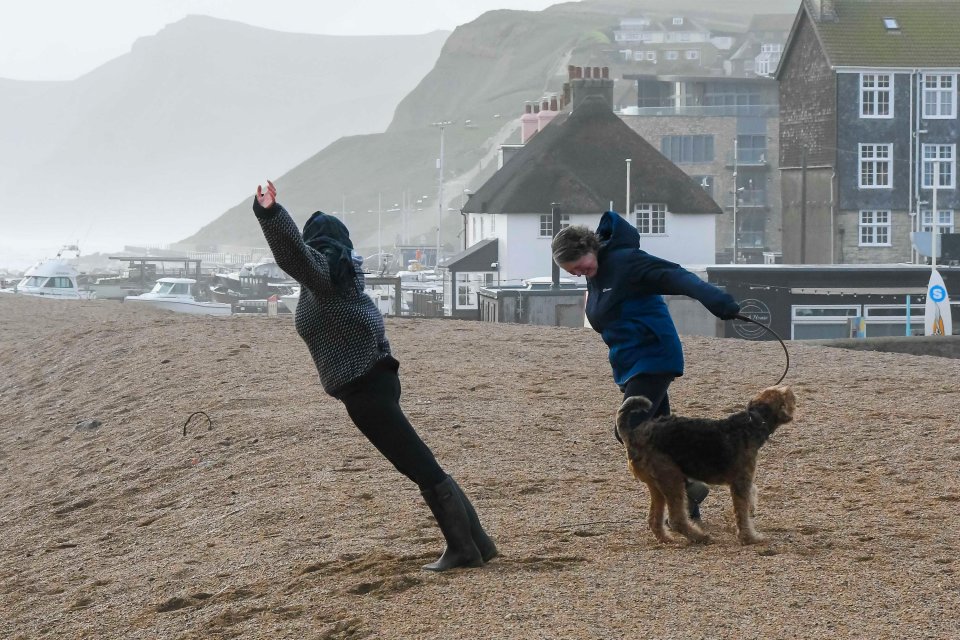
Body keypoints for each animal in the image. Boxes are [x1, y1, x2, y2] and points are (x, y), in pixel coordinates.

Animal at [616, 384, 796, 544]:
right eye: (789, 395)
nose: (794, 396)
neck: (753, 422)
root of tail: (633, 435)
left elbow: (749, 498)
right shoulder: (740, 481)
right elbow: (742, 513)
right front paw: (750, 538)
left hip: (657, 486)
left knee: (654, 518)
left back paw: (666, 538)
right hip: (671, 478)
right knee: (676, 519)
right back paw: (701, 537)